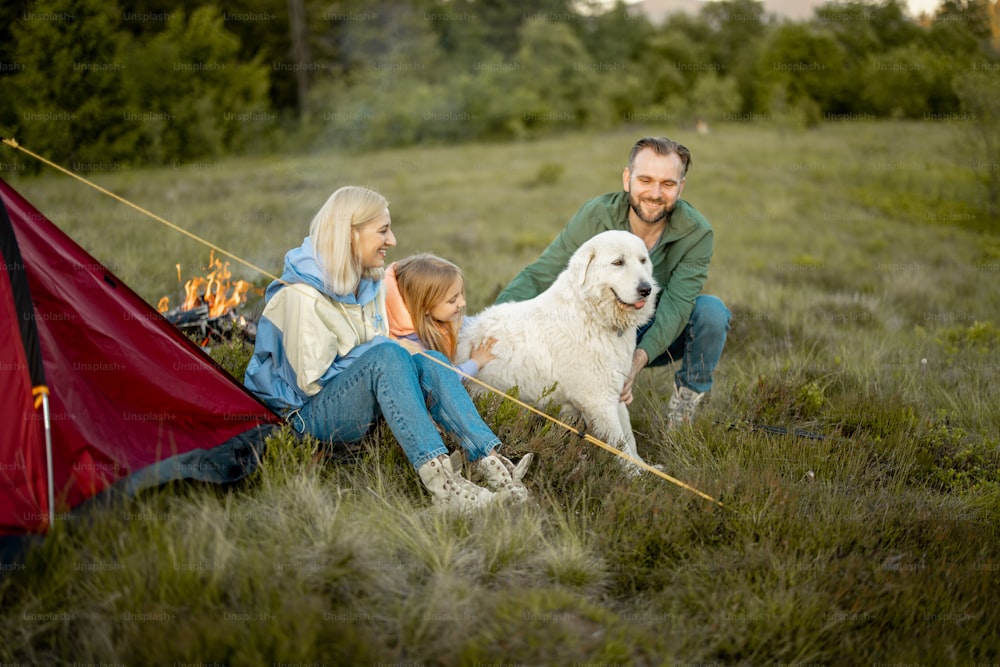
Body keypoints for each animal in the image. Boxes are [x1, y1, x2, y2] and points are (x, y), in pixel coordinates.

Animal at [458, 232, 660, 472]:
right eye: (618, 262)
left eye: (642, 261)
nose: (646, 289)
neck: (591, 313)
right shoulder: (599, 401)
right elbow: (620, 447)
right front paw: (637, 475)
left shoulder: (615, 392)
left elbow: (630, 438)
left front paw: (647, 468)